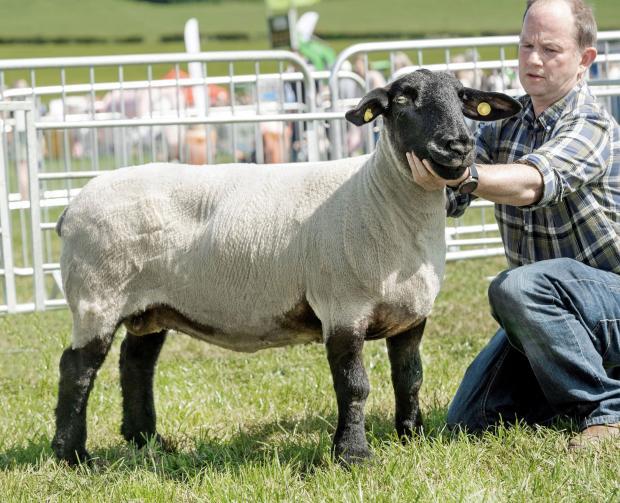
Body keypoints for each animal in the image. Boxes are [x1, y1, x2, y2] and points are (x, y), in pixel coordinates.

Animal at [52, 69, 520, 466]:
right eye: (403, 99)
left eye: (461, 98)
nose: (456, 146)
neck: (381, 199)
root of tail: (71, 208)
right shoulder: (342, 308)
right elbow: (354, 386)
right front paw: (352, 455)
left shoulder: (411, 314)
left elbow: (410, 378)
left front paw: (412, 437)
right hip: (98, 295)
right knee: (77, 369)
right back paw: (73, 455)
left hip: (149, 304)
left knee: (136, 363)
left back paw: (146, 440)